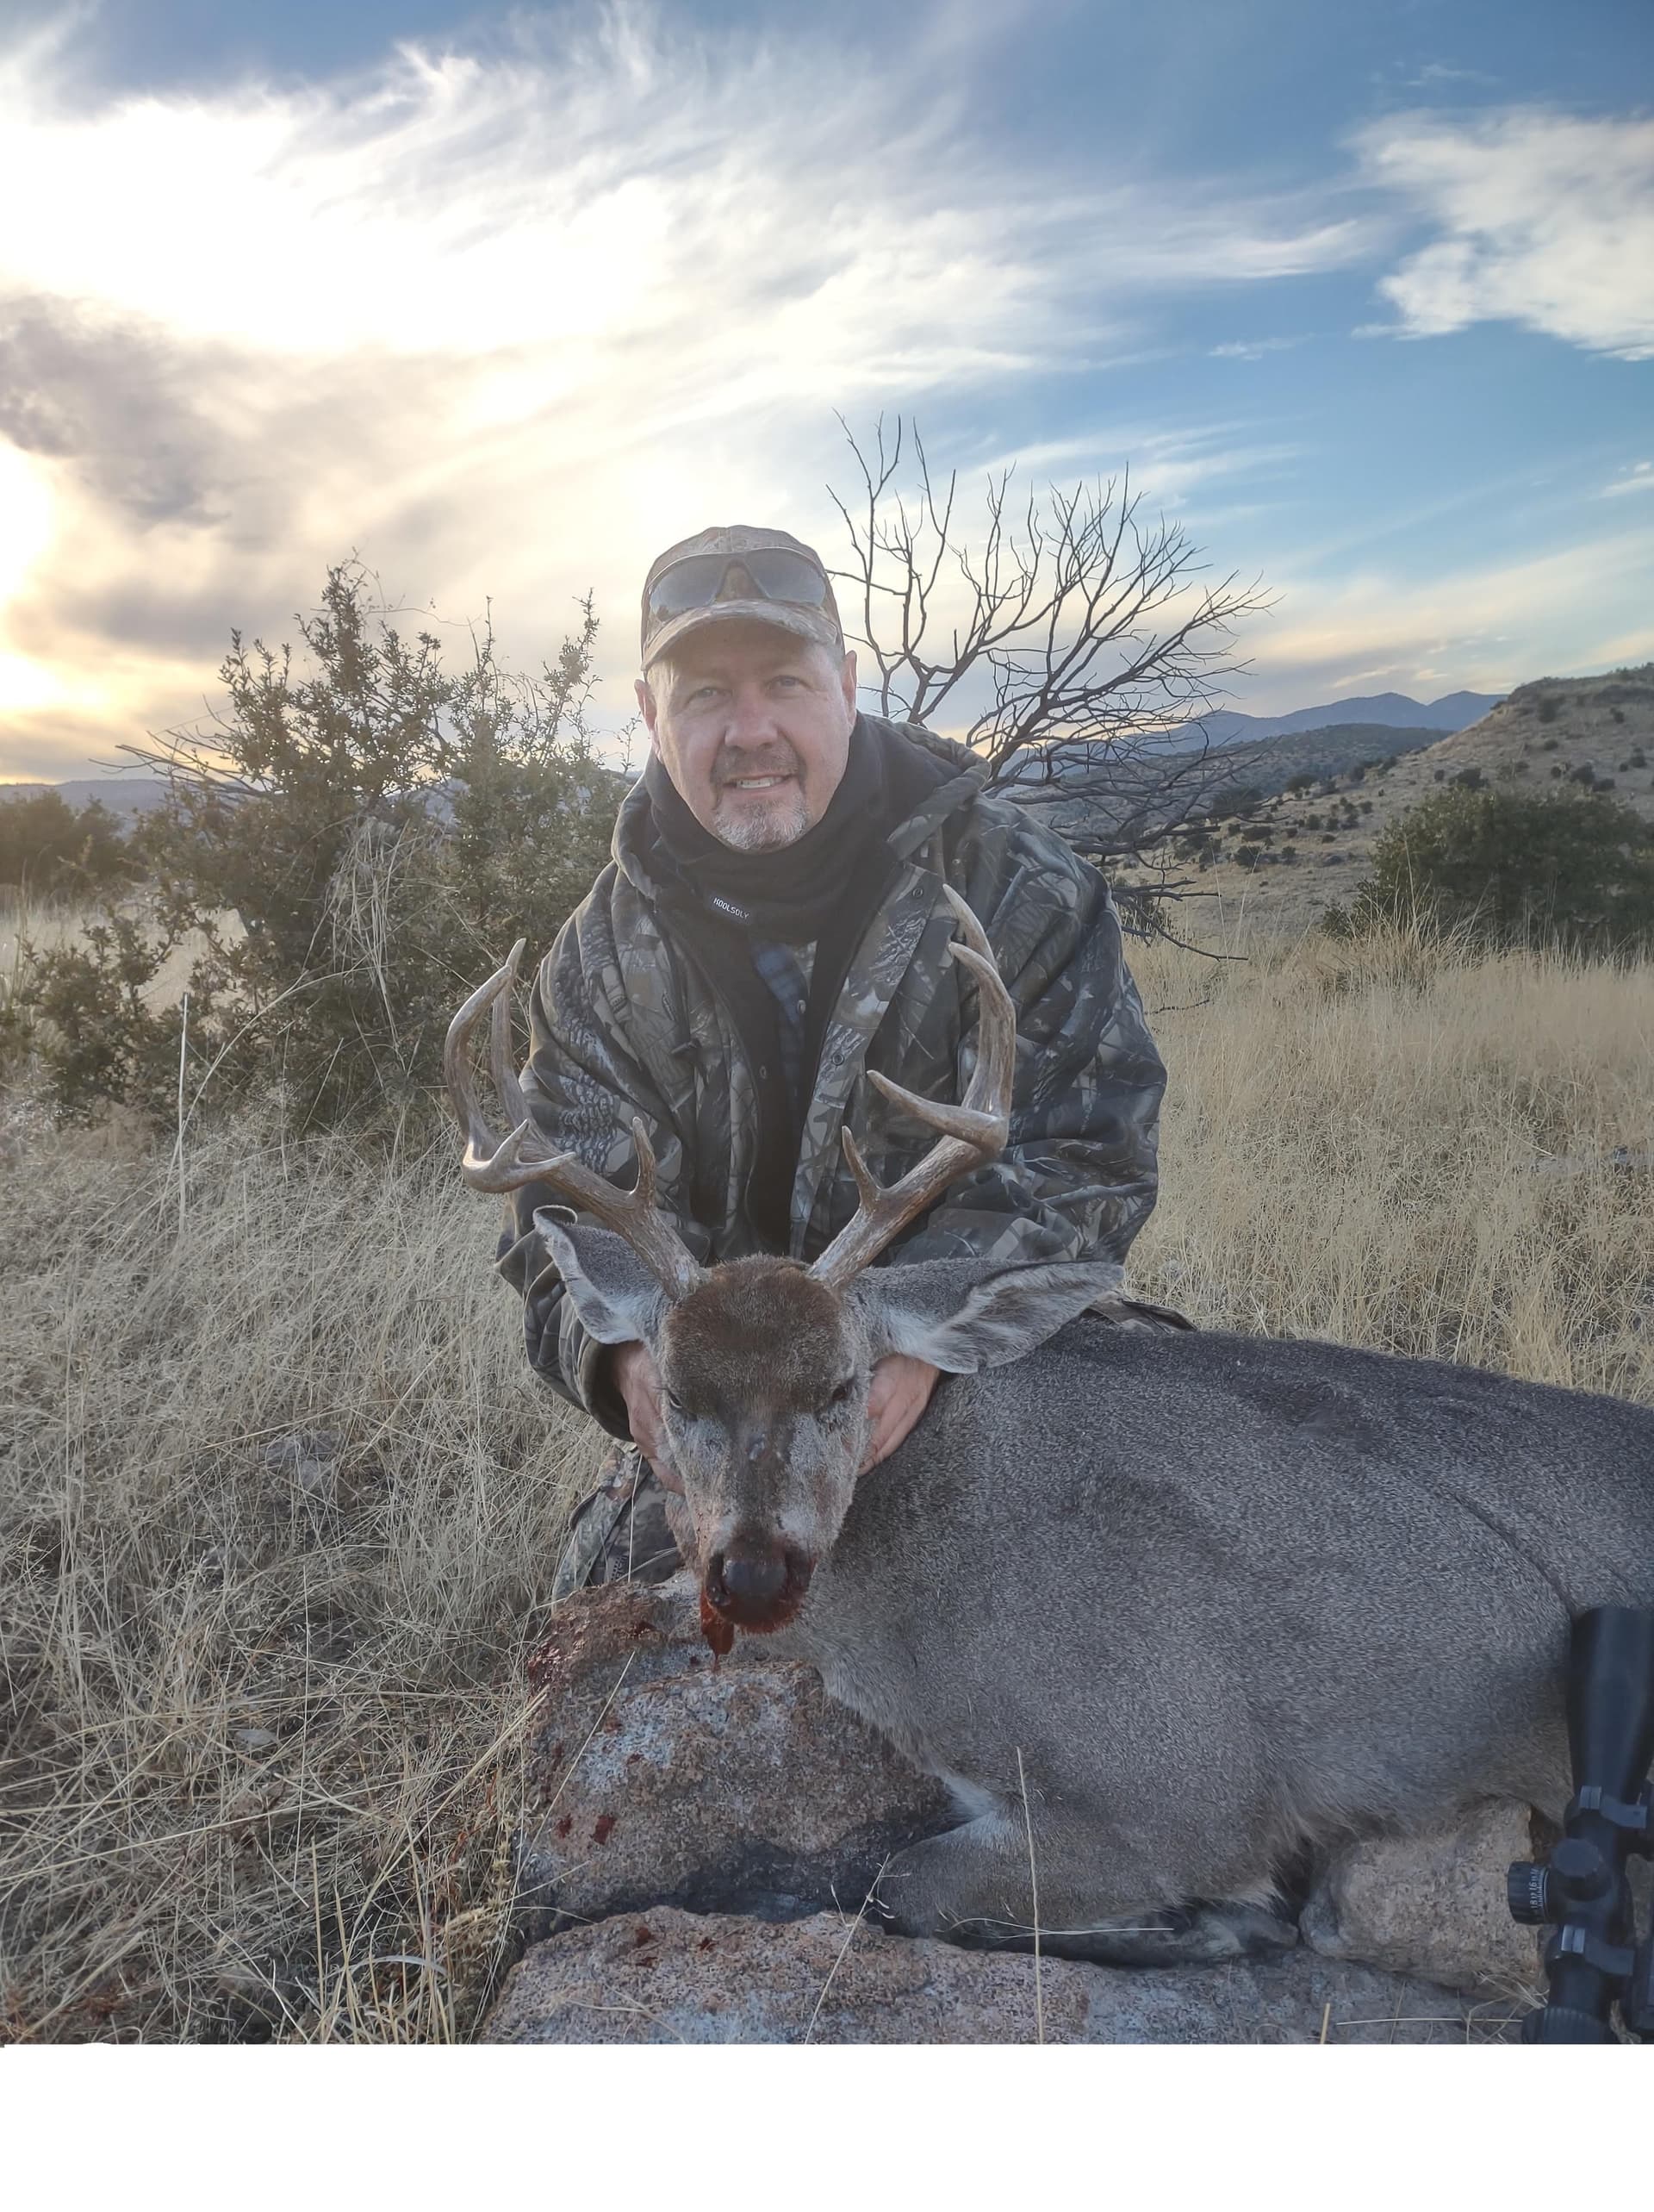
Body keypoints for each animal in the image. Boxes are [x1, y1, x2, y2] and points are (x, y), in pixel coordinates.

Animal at [444, 890, 1654, 1966]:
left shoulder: (1185, 1782)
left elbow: (897, 1880)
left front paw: (1220, 1920)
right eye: (678, 1394)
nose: (750, 1572)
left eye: (842, 1385)